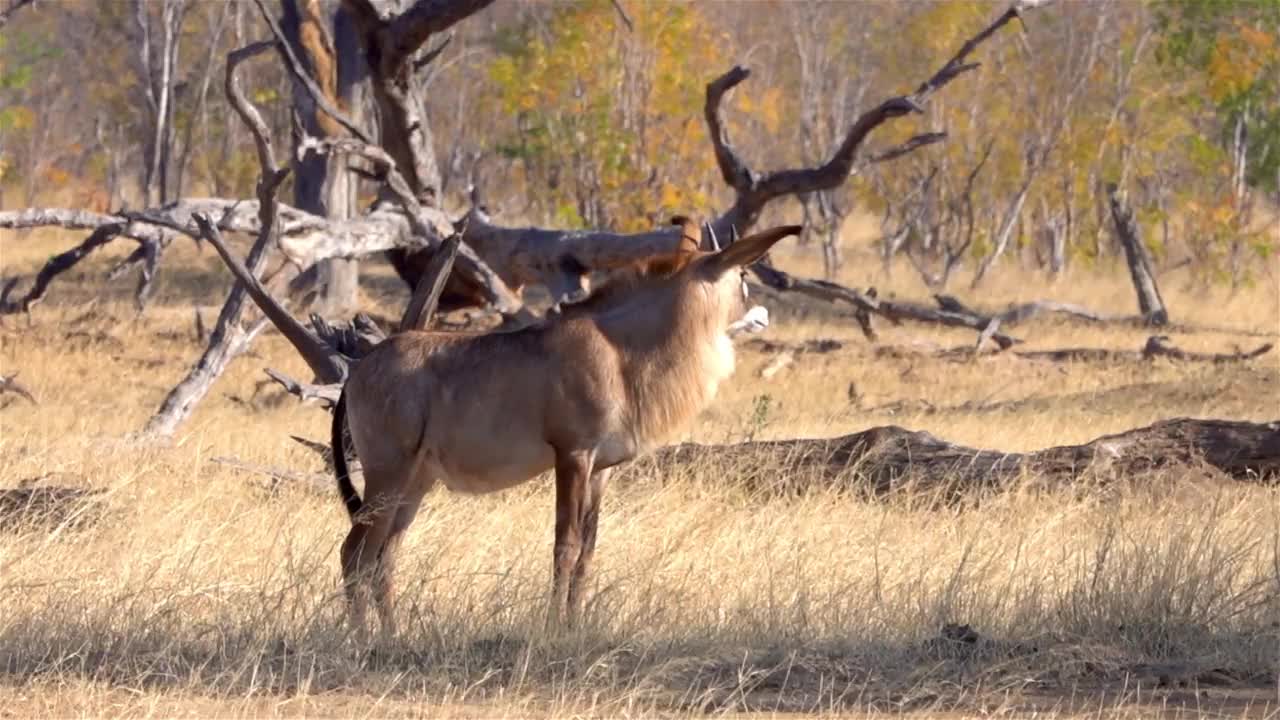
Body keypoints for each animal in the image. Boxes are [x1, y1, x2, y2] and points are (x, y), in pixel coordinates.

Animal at [330, 215, 798, 635]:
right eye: (742, 274)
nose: (762, 315)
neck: (618, 350)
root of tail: (358, 370)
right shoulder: (572, 455)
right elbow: (565, 546)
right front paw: (554, 628)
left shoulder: (601, 469)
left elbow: (588, 551)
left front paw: (575, 626)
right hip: (388, 472)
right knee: (355, 552)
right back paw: (362, 639)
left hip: (416, 482)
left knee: (385, 556)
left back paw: (394, 637)